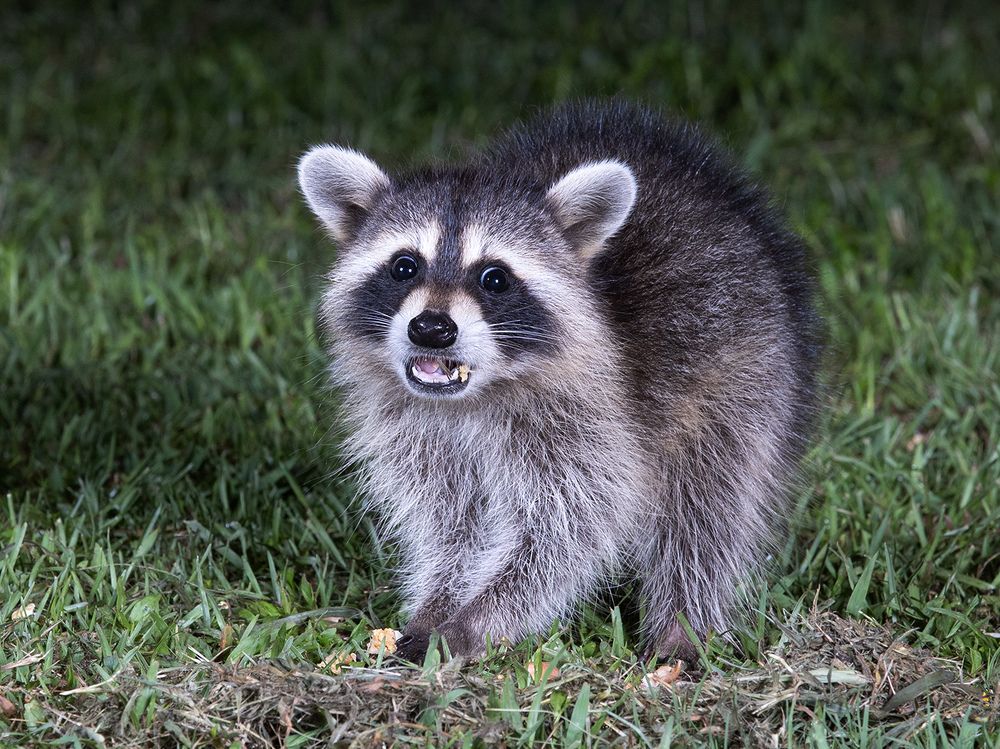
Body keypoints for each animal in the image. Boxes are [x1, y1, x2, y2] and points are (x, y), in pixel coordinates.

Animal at [297, 101, 821, 663]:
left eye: (494, 278)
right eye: (404, 266)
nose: (432, 328)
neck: (472, 399)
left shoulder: (588, 423)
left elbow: (570, 530)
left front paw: (476, 621)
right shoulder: (421, 432)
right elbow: (452, 525)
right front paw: (439, 603)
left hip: (744, 377)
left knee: (708, 508)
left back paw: (683, 624)